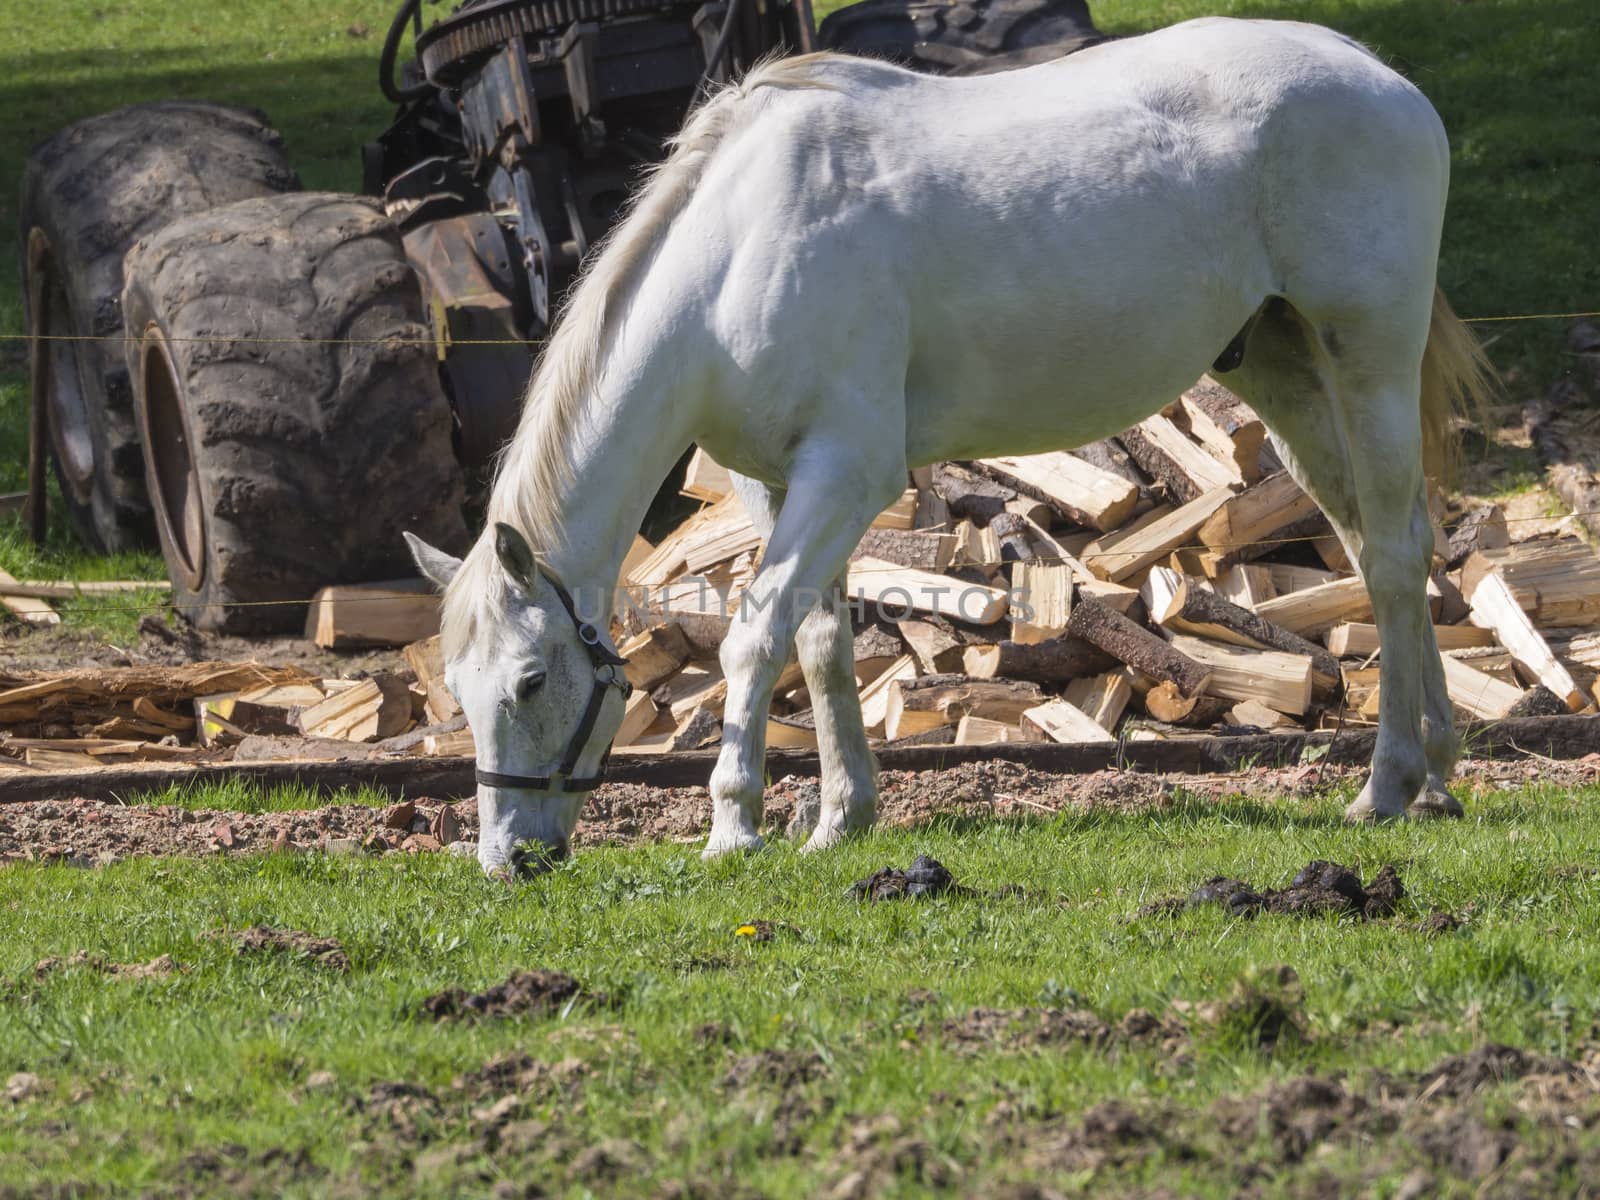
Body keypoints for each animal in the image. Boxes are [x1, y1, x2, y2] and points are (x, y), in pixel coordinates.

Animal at [406, 16, 1491, 876]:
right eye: (459, 689)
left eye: (531, 681)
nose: (509, 860)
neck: (736, 254)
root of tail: (1378, 76)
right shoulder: (774, 482)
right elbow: (819, 637)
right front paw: (841, 818)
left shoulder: (846, 472)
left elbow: (758, 631)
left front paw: (734, 825)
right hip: (1284, 373)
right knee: (1378, 547)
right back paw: (1434, 775)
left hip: (1367, 364)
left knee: (1397, 555)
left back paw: (1387, 785)